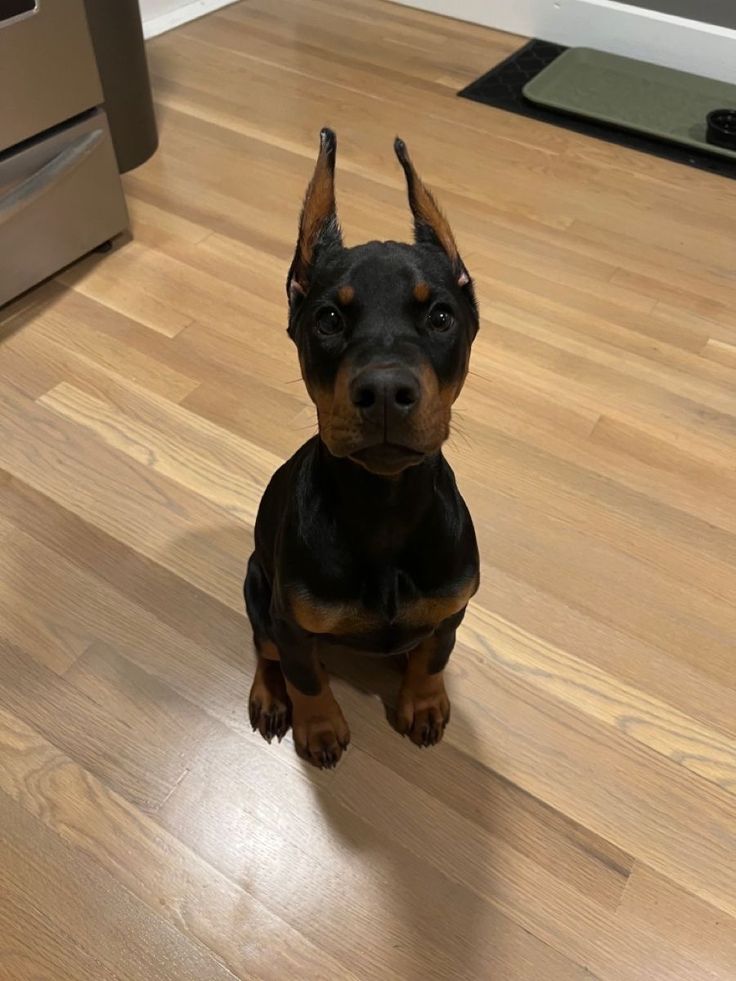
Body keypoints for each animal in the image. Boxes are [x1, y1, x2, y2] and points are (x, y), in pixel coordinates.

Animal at [244, 128, 480, 764]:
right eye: (327, 318)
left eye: (441, 315)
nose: (385, 393)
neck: (385, 508)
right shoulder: (293, 622)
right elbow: (306, 675)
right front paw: (321, 727)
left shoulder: (452, 609)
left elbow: (433, 657)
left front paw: (423, 703)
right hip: (257, 586)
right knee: (263, 647)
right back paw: (268, 698)